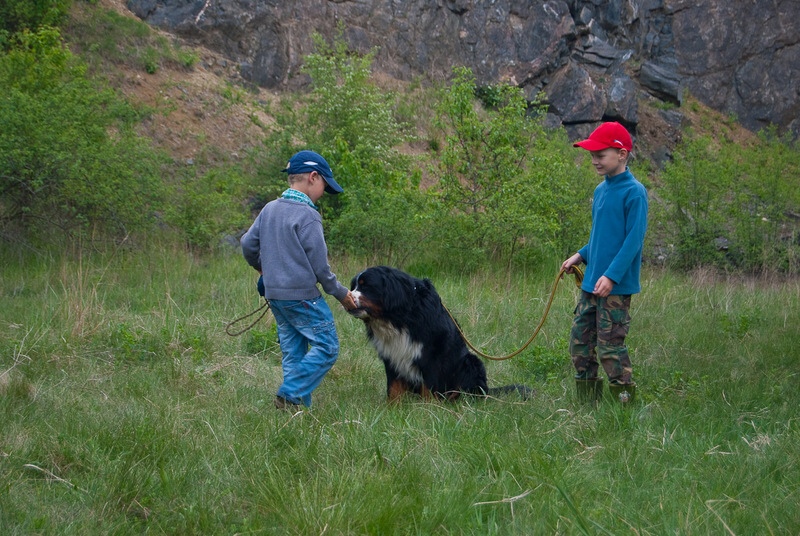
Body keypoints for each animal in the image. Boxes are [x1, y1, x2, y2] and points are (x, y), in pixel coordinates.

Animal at [346, 266, 528, 400]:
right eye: (353, 286)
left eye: (366, 285)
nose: (347, 298)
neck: (398, 318)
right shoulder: (391, 354)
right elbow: (393, 387)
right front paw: (393, 408)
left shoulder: (432, 355)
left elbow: (430, 385)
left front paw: (428, 409)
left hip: (470, 362)